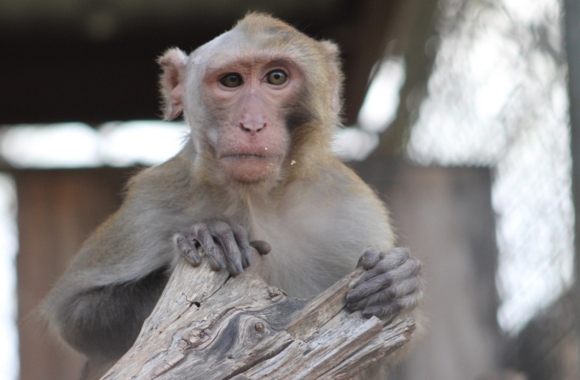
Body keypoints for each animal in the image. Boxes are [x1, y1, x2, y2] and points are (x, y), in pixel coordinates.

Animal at [40, 12, 422, 380]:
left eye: (276, 77)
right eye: (232, 82)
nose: (252, 124)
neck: (256, 197)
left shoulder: (352, 209)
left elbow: (372, 347)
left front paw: (397, 283)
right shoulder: (154, 202)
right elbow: (77, 314)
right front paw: (210, 237)